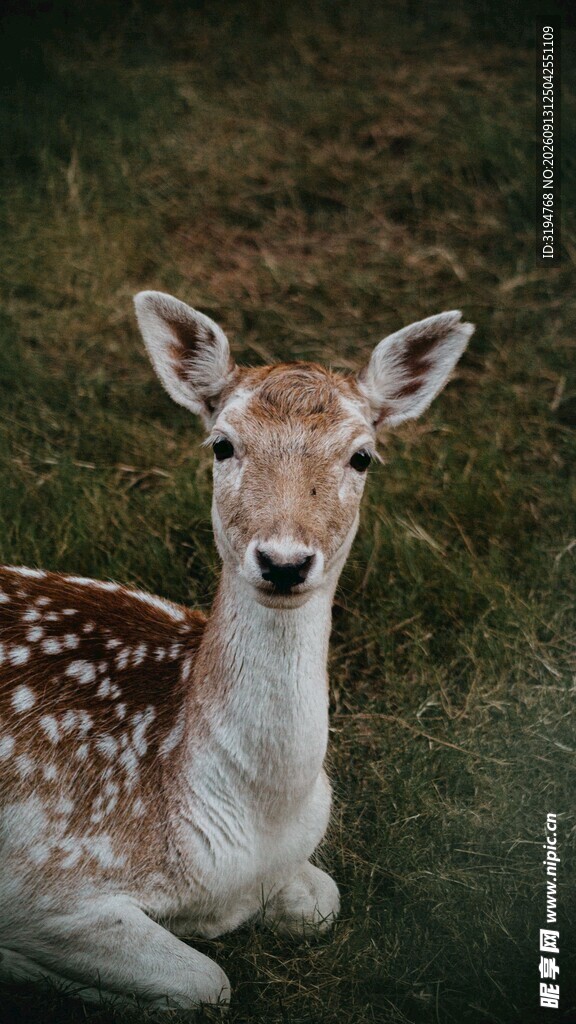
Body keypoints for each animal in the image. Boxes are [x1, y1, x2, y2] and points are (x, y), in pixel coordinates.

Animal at [0, 291, 474, 1011]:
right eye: (222, 443)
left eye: (363, 456)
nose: (283, 561)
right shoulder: (48, 882)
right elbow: (208, 982)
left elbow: (324, 900)